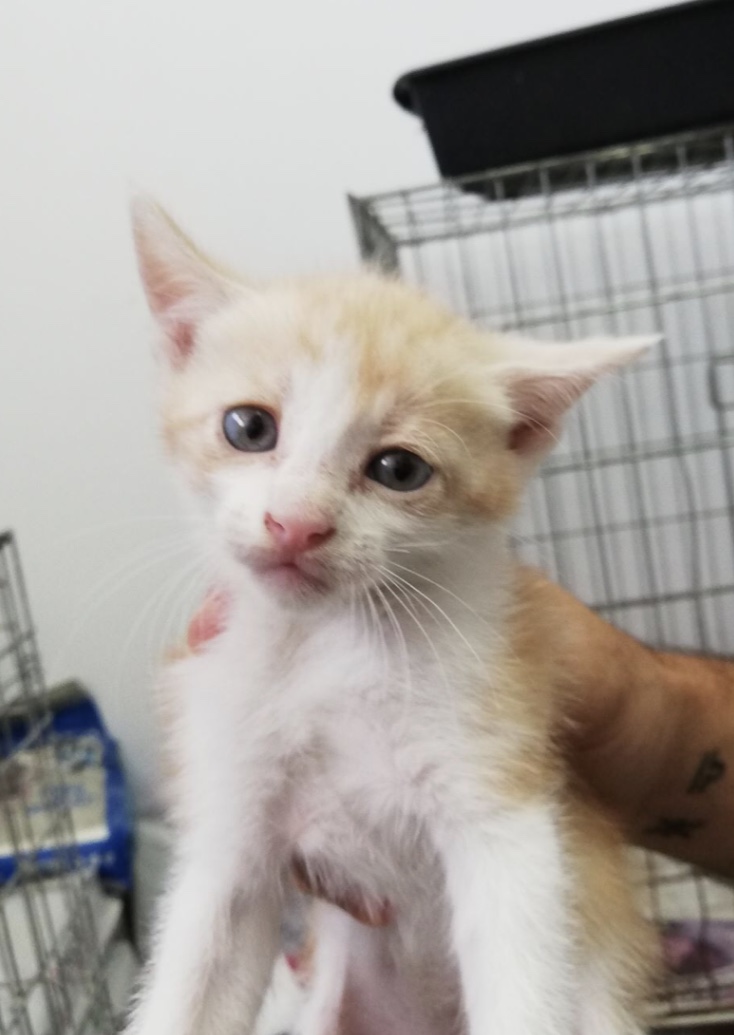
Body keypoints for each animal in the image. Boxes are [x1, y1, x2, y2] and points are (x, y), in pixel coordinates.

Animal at [126, 197, 659, 1035]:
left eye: (399, 469)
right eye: (248, 427)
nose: (295, 525)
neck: (328, 647)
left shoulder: (504, 801)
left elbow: (521, 972)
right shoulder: (231, 819)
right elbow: (189, 988)